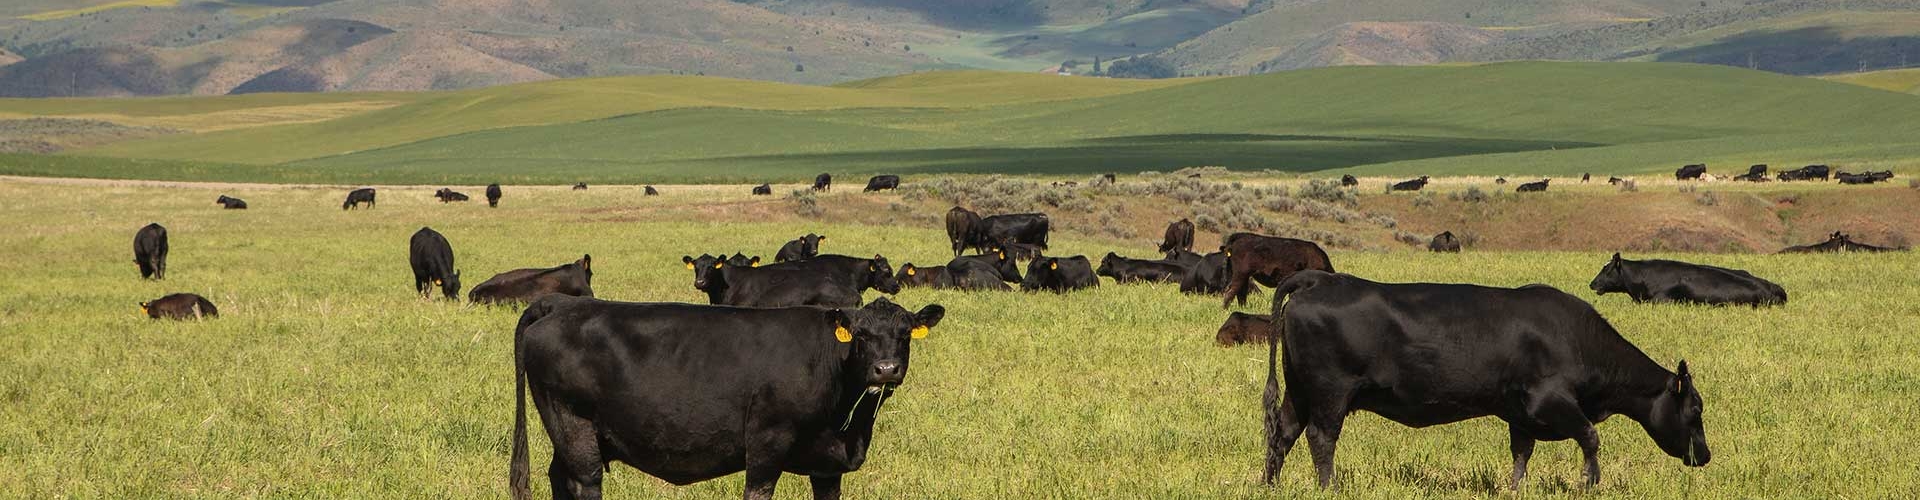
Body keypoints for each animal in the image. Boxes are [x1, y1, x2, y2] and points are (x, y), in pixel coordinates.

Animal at [509, 295, 944, 500]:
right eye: (861, 335)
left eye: (905, 333)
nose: (886, 369)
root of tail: (564, 303)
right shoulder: (767, 441)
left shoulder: (827, 465)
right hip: (573, 423)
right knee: (584, 481)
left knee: (559, 476)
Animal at [1261, 271, 1711, 490]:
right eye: (1695, 410)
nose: (1705, 456)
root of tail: (1319, 279)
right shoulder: (1549, 400)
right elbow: (1589, 437)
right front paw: (1589, 482)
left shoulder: (1521, 413)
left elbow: (1522, 453)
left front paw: (1516, 489)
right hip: (1329, 393)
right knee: (1320, 437)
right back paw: (1329, 487)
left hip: (1299, 392)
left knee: (1282, 433)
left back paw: (1270, 484)